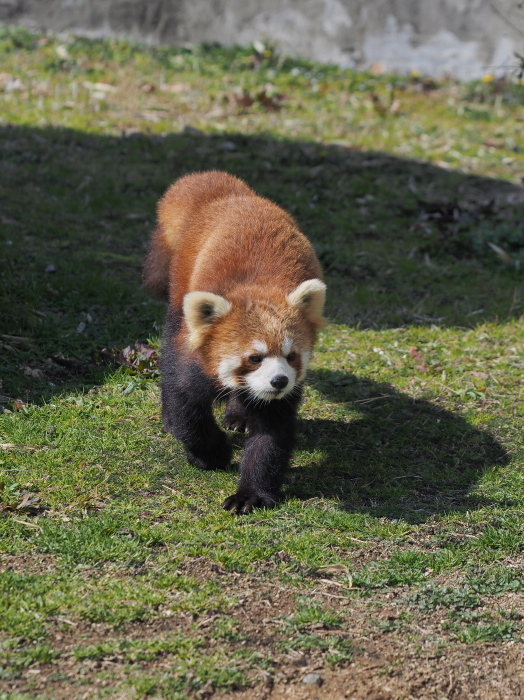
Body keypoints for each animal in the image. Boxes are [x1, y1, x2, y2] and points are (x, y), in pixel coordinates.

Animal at [142, 172, 324, 516]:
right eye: (254, 357)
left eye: (291, 356)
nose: (278, 381)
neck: (260, 288)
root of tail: (232, 194)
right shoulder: (193, 357)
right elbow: (186, 404)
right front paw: (210, 454)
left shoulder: (282, 396)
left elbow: (271, 437)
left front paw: (251, 493)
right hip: (180, 286)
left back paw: (238, 416)